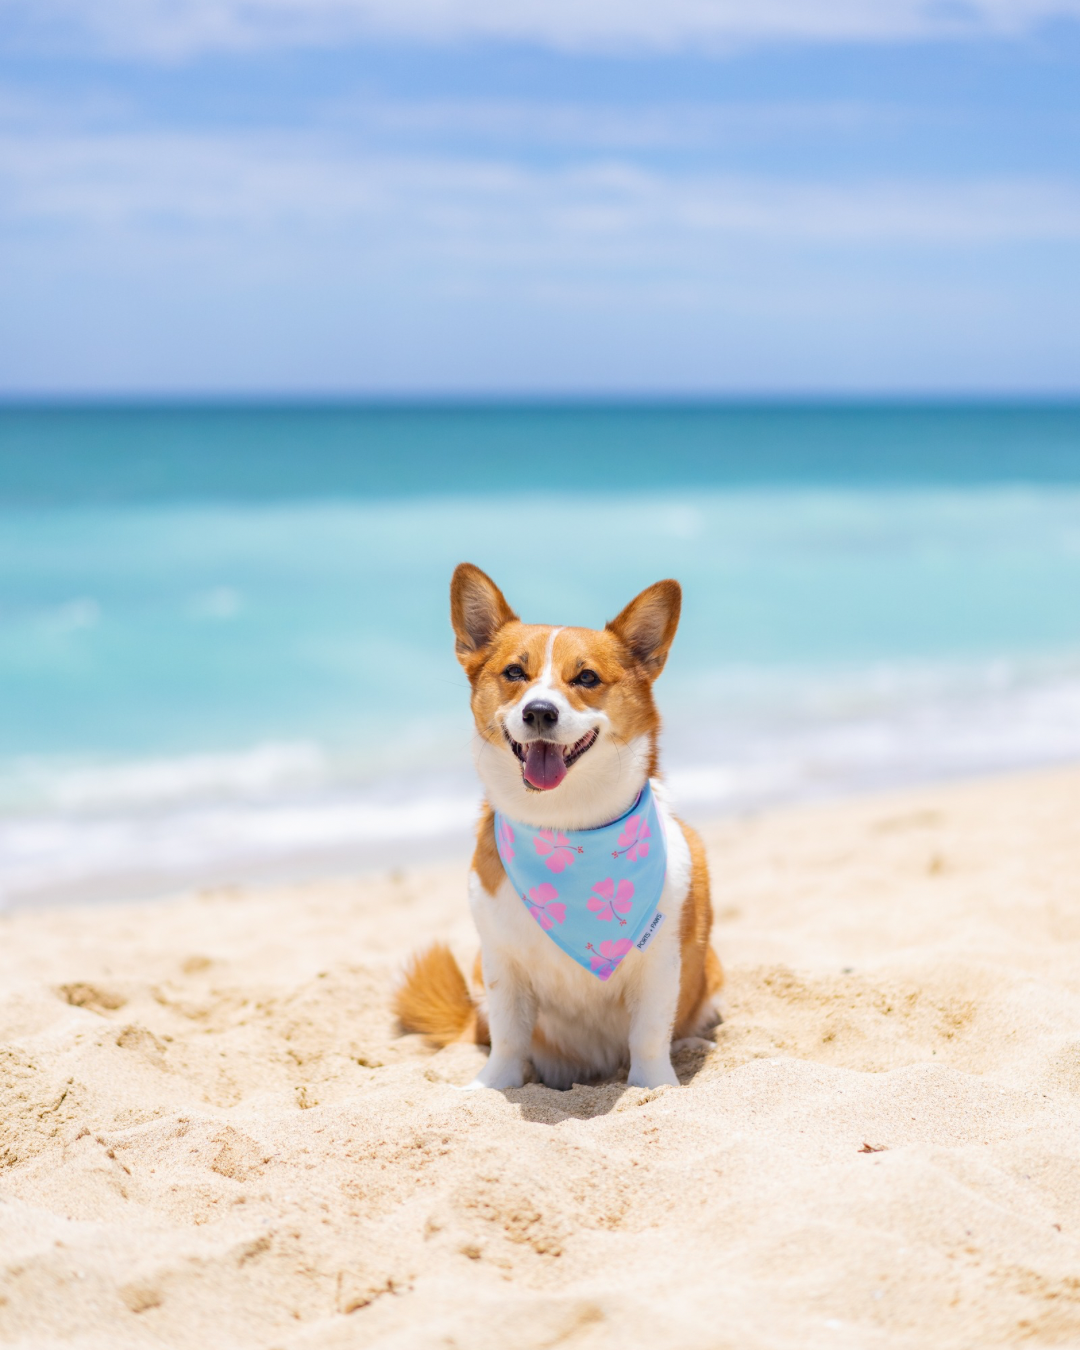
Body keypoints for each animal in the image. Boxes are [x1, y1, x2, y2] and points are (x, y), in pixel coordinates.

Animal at [391, 564, 723, 1090]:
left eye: (586, 677)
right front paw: (490, 1087)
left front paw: (656, 1088)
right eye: (515, 673)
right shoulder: (500, 963)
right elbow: (508, 1037)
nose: (540, 712)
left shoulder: (660, 965)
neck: (565, 830)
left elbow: (650, 1036)